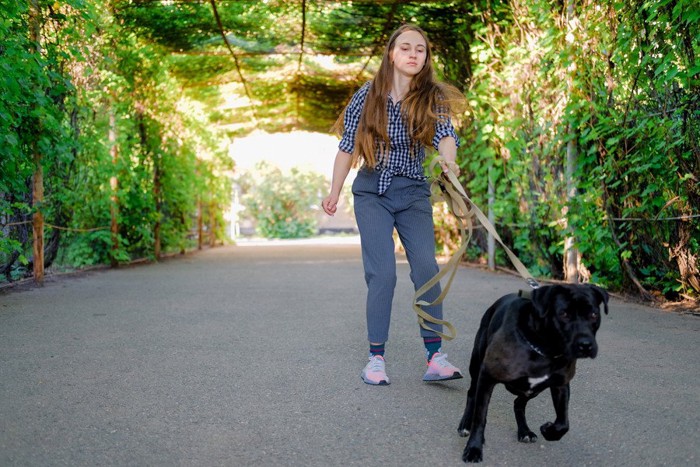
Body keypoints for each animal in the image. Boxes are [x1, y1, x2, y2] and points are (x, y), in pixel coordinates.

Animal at [460, 284, 608, 462]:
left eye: (594, 315)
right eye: (563, 314)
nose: (586, 345)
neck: (544, 350)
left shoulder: (561, 384)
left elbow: (563, 423)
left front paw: (549, 430)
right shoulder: (487, 376)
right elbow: (480, 417)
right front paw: (474, 448)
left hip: (533, 390)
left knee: (518, 403)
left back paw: (524, 431)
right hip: (476, 366)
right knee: (472, 394)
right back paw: (465, 424)